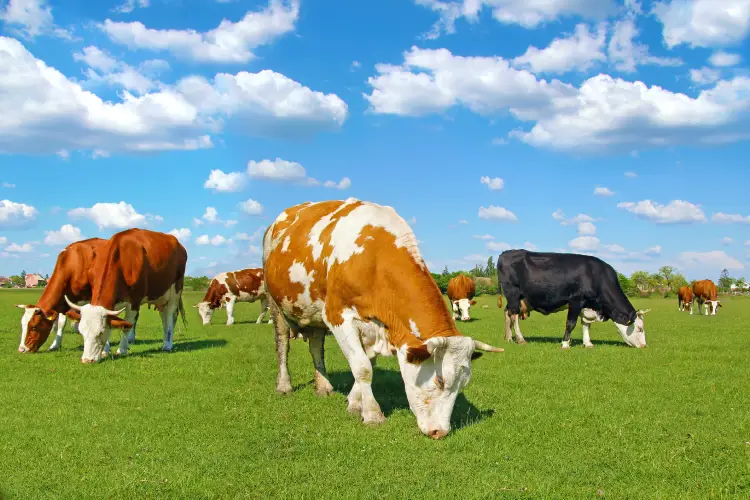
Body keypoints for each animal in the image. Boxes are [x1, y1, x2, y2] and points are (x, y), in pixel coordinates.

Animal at [64, 228, 187, 363]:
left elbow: (127, 325)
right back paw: (165, 341)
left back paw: (168, 345)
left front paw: (122, 349)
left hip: (175, 291)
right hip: (160, 298)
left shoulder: (135, 301)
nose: (87, 360)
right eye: (82, 332)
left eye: (100, 332)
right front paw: (105, 351)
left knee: (170, 316)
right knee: (164, 317)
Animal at [262, 198, 503, 440]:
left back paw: (323, 386)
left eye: (463, 384)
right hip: (275, 302)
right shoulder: (338, 316)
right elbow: (362, 368)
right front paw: (372, 414)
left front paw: (354, 404)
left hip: (313, 311)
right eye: (440, 380)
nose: (440, 432)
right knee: (282, 344)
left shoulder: (376, 327)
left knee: (315, 346)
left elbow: (367, 363)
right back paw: (284, 385)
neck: (374, 260)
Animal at [497, 249, 649, 349]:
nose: (644, 345)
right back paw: (520, 339)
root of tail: (505, 253)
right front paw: (565, 344)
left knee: (507, 313)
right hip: (513, 293)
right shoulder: (576, 300)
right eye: (640, 328)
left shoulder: (587, 304)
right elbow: (571, 323)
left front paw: (588, 343)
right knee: (514, 315)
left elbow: (586, 323)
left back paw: (508, 338)